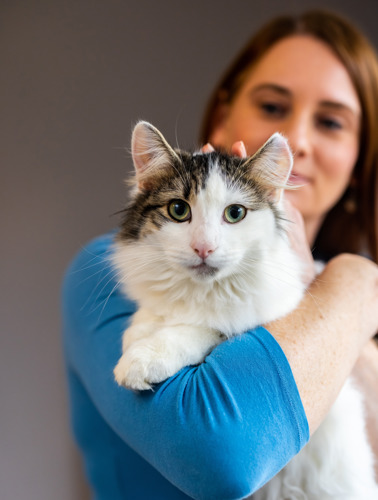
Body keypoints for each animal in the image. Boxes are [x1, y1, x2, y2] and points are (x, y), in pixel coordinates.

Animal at [110, 121, 376, 500]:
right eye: (178, 210)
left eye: (235, 214)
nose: (203, 248)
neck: (200, 292)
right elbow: (155, 311)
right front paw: (139, 329)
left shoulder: (273, 308)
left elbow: (203, 326)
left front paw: (141, 357)